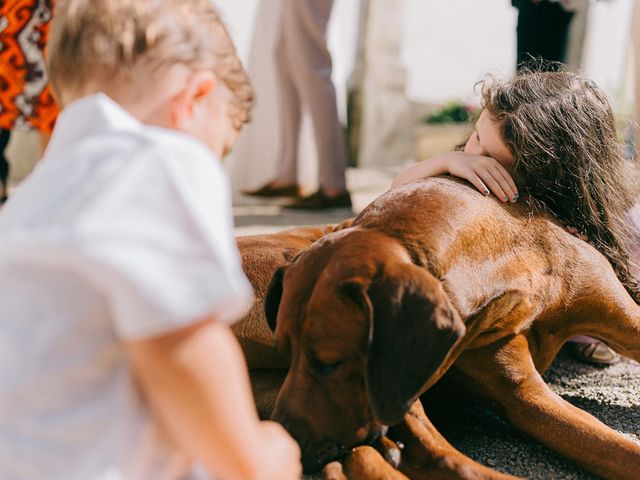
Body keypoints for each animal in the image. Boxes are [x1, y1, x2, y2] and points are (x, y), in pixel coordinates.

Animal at [262, 178, 640, 478]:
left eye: (331, 363)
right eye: (285, 353)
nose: (284, 441)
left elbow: (617, 449)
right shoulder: (521, 395)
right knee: (438, 456)